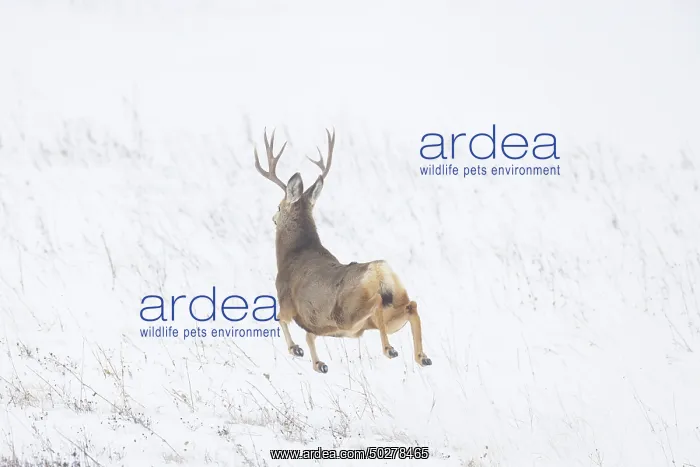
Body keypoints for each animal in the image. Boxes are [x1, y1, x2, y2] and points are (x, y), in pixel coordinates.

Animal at [254, 128, 432, 373]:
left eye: (278, 207)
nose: (273, 217)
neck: (294, 254)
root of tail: (380, 271)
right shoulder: (316, 322)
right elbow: (309, 335)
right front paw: (318, 363)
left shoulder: (286, 301)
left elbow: (280, 318)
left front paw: (295, 349)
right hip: (389, 313)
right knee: (411, 306)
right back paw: (421, 356)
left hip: (348, 313)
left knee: (377, 302)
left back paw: (390, 350)